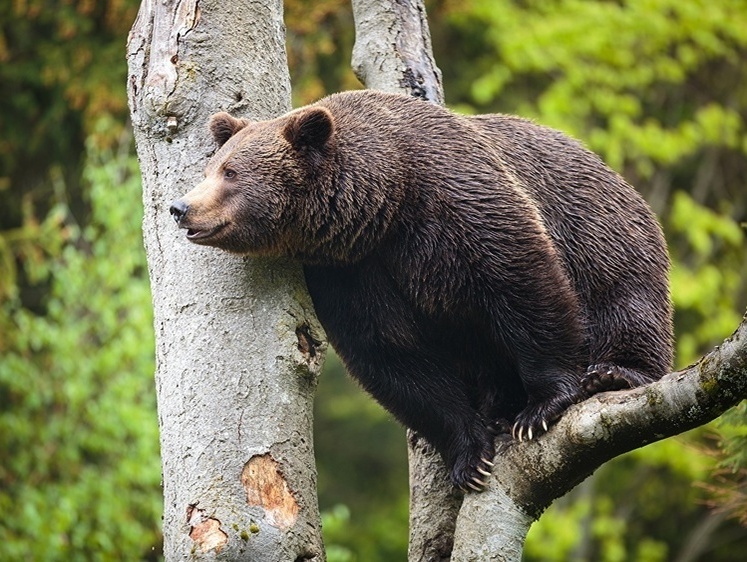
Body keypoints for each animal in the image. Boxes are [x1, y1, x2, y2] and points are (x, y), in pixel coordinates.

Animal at [169, 89, 672, 488]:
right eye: (212, 167)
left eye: (231, 172)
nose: (180, 207)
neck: (385, 200)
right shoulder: (350, 271)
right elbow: (394, 355)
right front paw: (470, 456)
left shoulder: (458, 202)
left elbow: (523, 285)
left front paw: (541, 407)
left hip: (601, 229)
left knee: (624, 298)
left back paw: (615, 372)